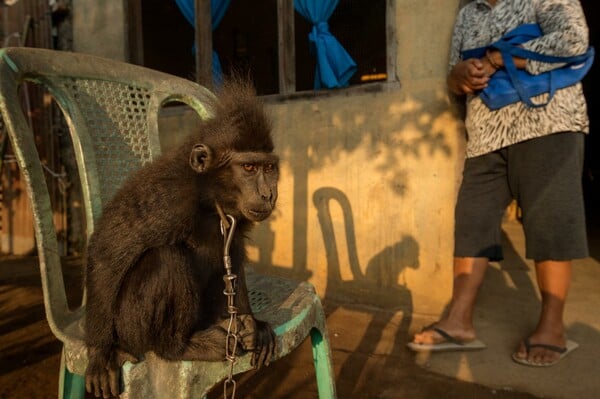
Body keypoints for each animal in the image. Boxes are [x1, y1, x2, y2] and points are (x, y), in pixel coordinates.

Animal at [84, 79, 278, 398]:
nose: (268, 194)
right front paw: (99, 355)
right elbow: (106, 253)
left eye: (269, 168)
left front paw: (256, 326)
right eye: (249, 168)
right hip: (128, 326)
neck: (209, 198)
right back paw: (178, 346)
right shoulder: (169, 196)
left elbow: (233, 256)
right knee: (166, 257)